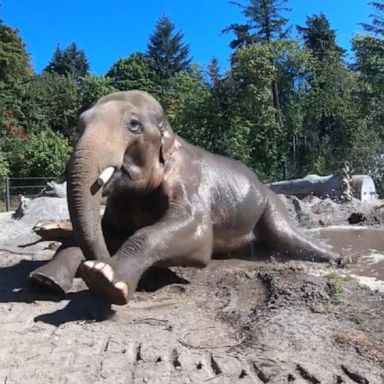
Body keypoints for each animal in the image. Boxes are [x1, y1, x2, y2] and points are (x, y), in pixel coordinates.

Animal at [30, 91, 342, 306]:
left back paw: (337, 258)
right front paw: (45, 280)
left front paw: (105, 279)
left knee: (288, 236)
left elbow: (196, 235)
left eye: (134, 125)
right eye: (79, 125)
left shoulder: (190, 184)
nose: (103, 258)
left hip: (271, 206)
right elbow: (106, 230)